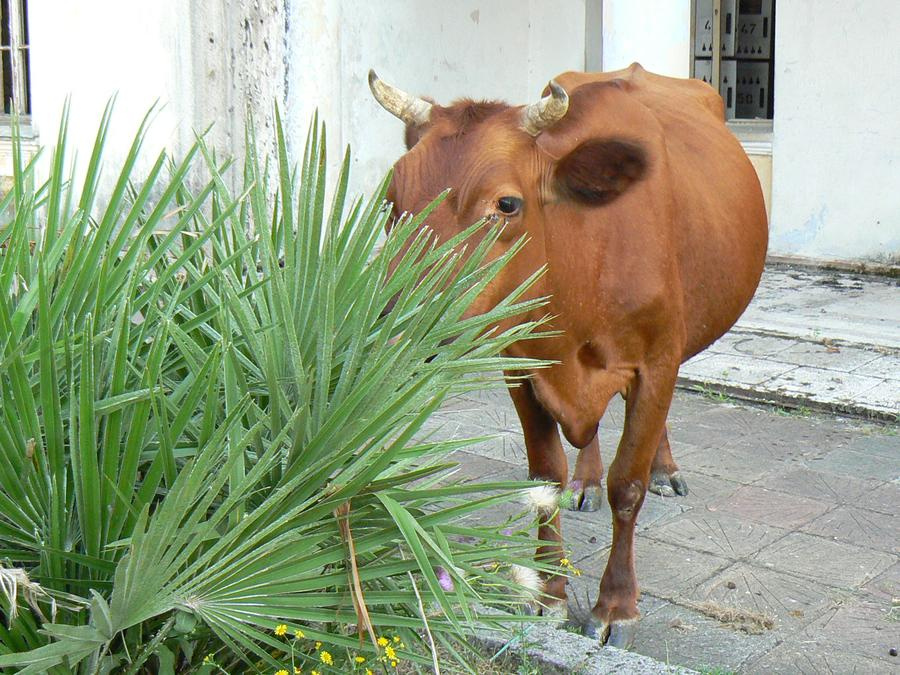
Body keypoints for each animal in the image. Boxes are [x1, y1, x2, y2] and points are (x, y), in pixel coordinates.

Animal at [369, 63, 768, 647]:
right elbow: (545, 479)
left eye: (506, 204)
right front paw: (549, 595)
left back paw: (665, 469)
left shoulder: (657, 361)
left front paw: (616, 606)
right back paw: (588, 480)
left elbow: (629, 484)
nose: (403, 325)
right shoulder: (521, 364)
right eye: (390, 200)